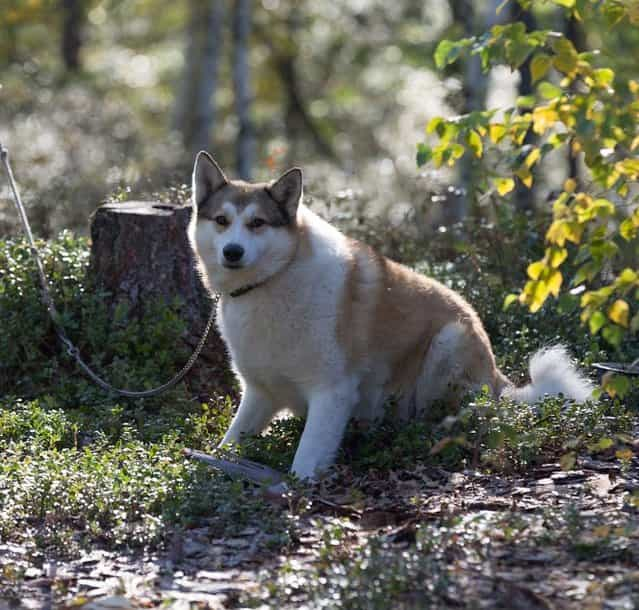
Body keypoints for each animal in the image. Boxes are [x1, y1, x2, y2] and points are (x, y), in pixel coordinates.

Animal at [189, 148, 596, 480]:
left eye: (257, 223)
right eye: (221, 220)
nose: (232, 252)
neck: (275, 279)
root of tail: (498, 381)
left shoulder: (332, 392)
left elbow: (304, 461)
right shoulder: (260, 394)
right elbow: (229, 443)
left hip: (448, 344)